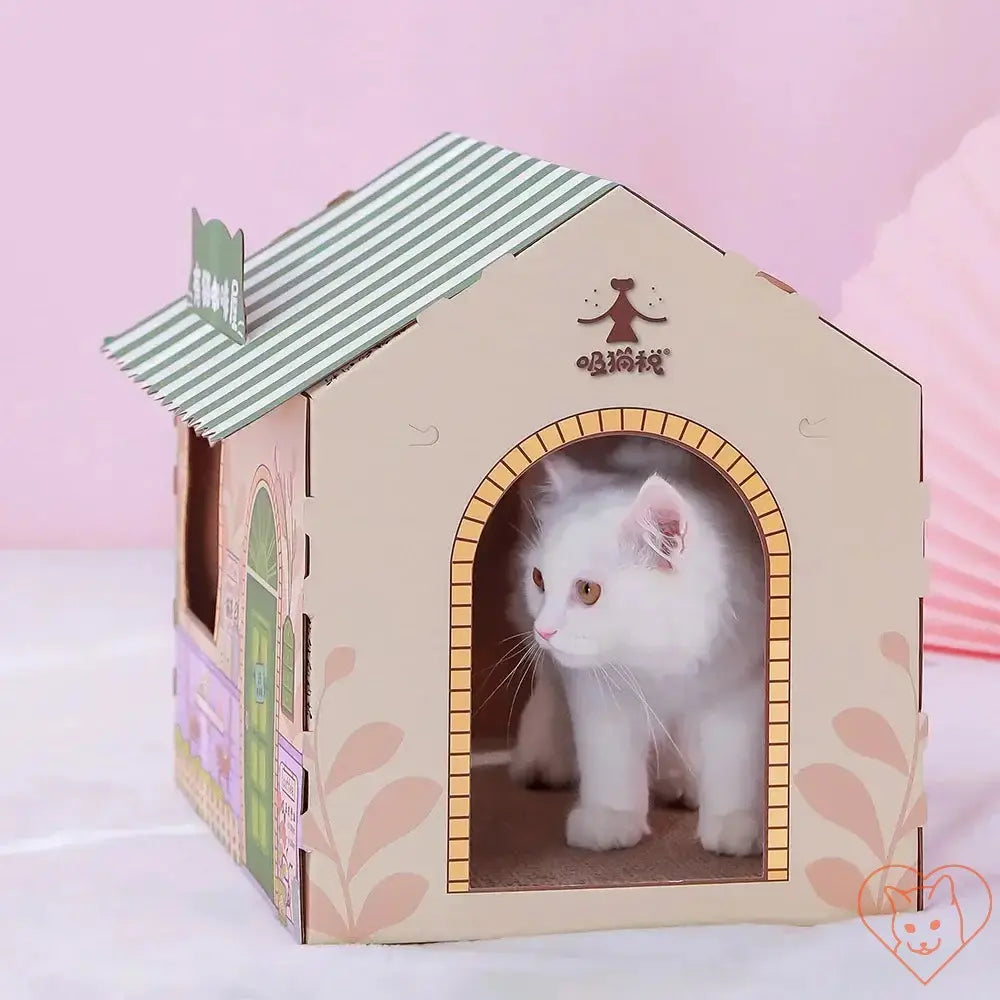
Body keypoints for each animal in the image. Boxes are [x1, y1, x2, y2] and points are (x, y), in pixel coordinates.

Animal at [508, 440, 764, 860]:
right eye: (539, 579)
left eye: (587, 591)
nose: (543, 630)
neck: (658, 665)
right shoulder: (599, 694)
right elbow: (609, 761)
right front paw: (608, 820)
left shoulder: (737, 691)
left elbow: (733, 764)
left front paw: (736, 826)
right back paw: (540, 762)